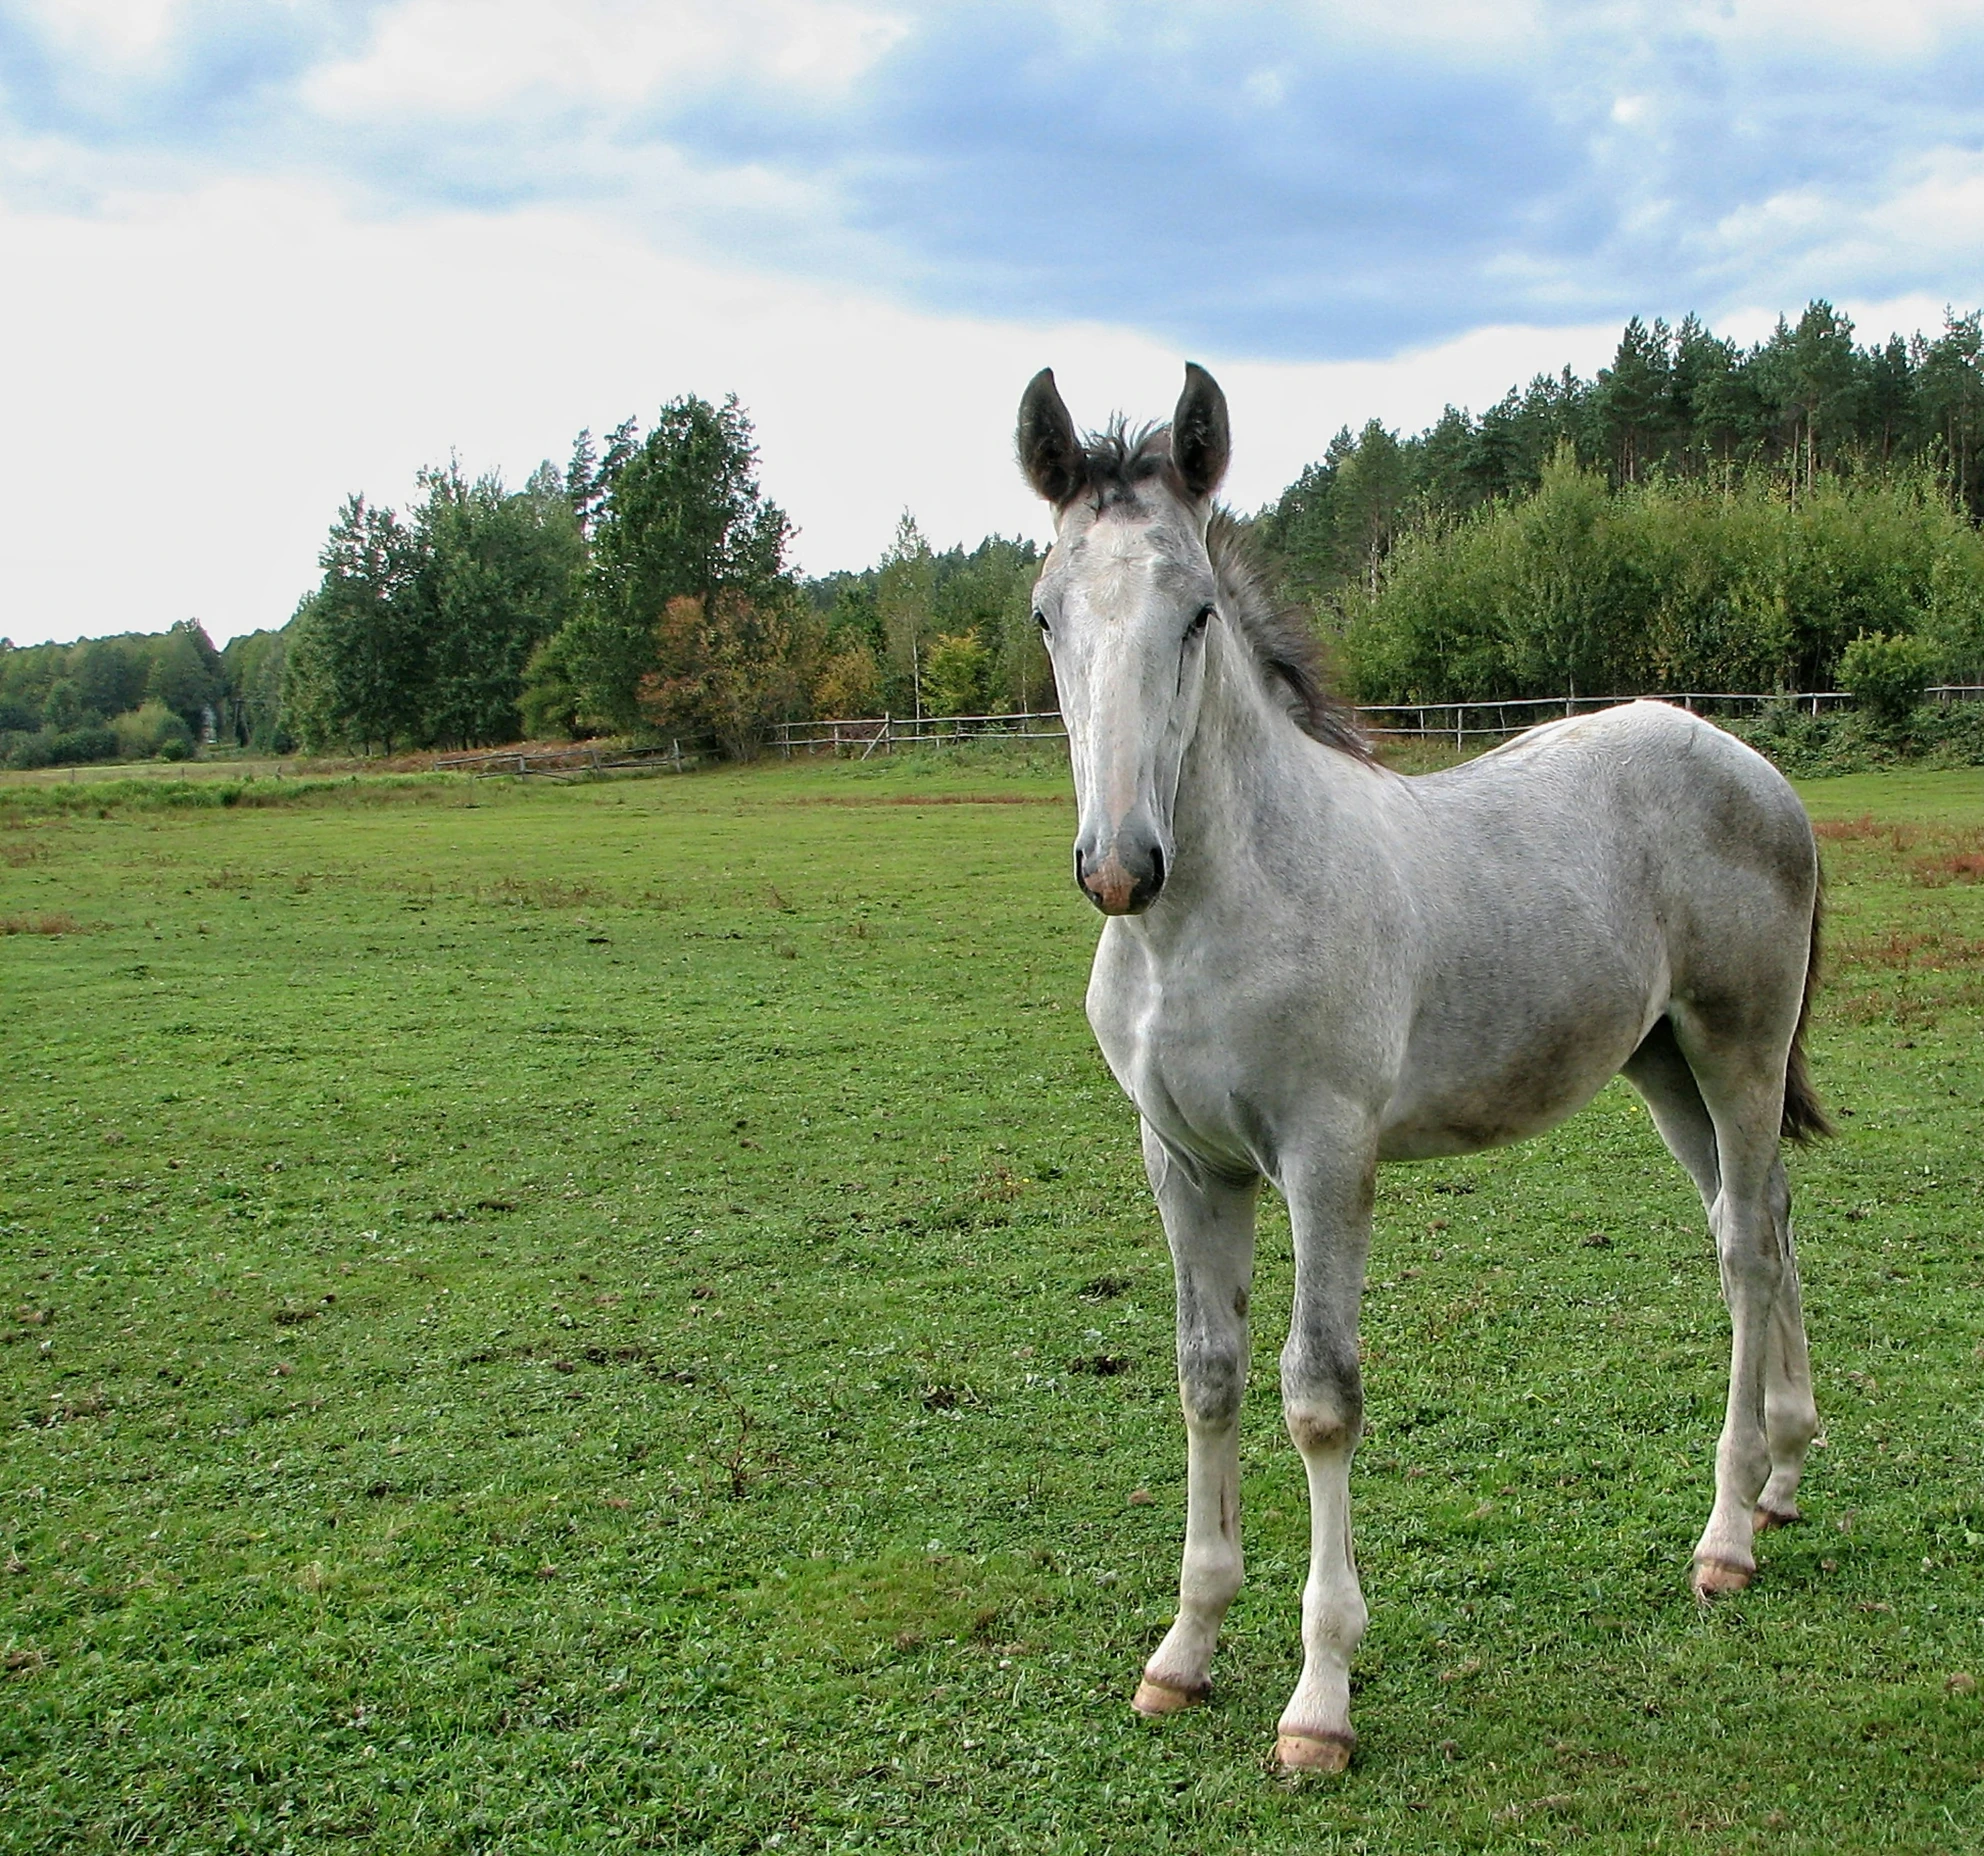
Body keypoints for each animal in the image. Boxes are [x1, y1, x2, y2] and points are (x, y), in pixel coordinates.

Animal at [1023, 363, 1825, 1770]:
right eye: (1047, 614)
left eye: (1193, 614)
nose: (1119, 864)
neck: (1210, 918)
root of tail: (1755, 767)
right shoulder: (1185, 1162)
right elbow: (1207, 1377)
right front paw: (1183, 1650)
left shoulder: (1324, 1155)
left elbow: (1318, 1396)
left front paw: (1318, 1702)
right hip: (1665, 1064)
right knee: (1763, 1216)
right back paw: (1781, 1477)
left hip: (1739, 1041)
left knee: (1741, 1248)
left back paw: (1725, 1535)